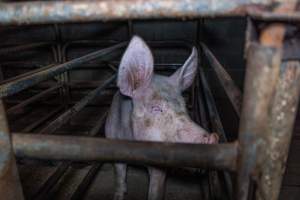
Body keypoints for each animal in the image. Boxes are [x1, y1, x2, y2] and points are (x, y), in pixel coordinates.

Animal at [105, 36, 218, 200]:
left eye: (184, 105)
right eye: (156, 108)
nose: (211, 138)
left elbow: (155, 190)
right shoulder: (113, 142)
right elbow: (119, 176)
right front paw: (119, 195)